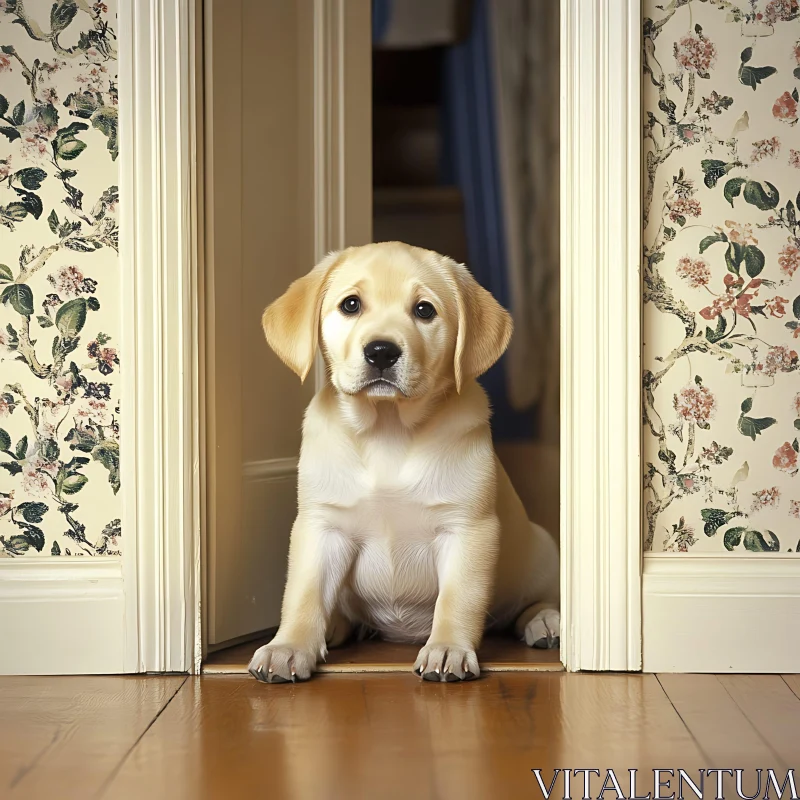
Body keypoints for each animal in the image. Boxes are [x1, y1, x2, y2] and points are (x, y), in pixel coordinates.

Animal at [248, 241, 556, 684]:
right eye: (351, 304)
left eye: (424, 310)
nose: (381, 351)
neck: (387, 428)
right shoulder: (321, 526)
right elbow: (303, 594)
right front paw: (288, 647)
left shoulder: (467, 529)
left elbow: (458, 598)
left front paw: (447, 648)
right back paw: (335, 626)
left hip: (541, 553)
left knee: (537, 598)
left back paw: (546, 620)